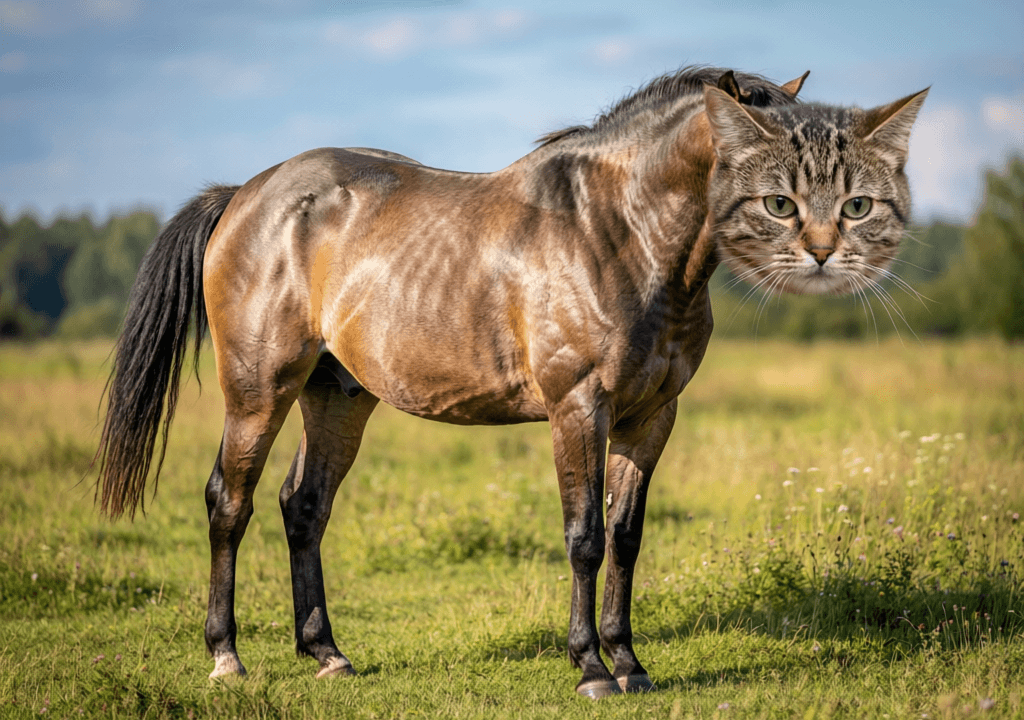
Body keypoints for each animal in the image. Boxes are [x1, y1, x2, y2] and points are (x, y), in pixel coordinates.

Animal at [95, 66, 876, 698]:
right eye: (776, 166)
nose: (830, 240)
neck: (622, 233)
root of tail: (245, 196)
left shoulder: (652, 417)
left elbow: (626, 538)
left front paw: (630, 663)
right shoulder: (578, 409)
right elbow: (585, 536)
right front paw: (591, 668)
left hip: (336, 397)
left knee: (303, 507)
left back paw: (327, 654)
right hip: (259, 391)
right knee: (229, 503)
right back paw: (226, 658)